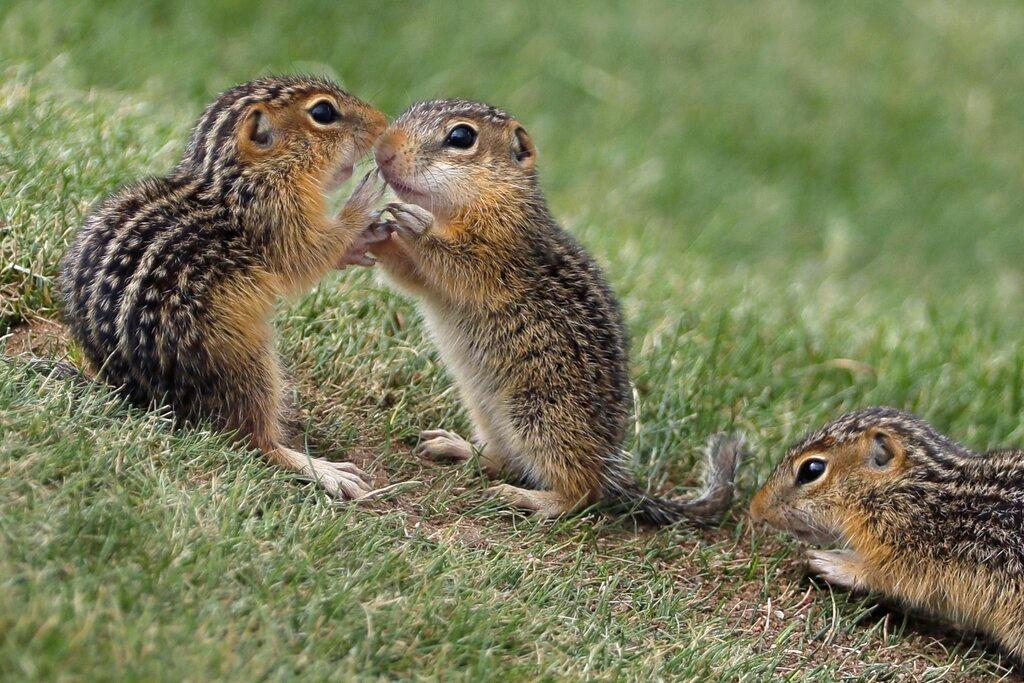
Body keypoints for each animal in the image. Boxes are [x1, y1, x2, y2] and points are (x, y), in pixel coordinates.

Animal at [60, 76, 387, 501]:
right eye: (323, 112)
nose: (383, 124)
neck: (236, 178)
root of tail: (143, 397)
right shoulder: (274, 214)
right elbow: (307, 256)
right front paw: (364, 201)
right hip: (245, 361)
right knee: (253, 439)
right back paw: (324, 471)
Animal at [368, 98, 745, 520]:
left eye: (461, 136)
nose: (383, 150)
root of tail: (609, 465)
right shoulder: (429, 276)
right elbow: (411, 276)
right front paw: (376, 228)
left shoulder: (501, 249)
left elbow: (458, 260)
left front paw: (416, 224)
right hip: (489, 412)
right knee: (505, 460)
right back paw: (456, 446)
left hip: (541, 416)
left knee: (581, 493)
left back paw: (529, 498)